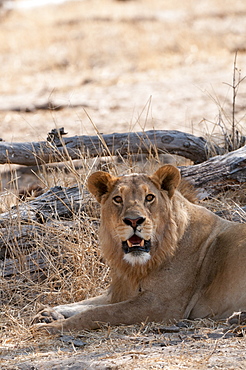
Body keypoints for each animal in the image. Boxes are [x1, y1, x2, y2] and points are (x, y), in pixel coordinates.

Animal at [32, 165, 246, 332]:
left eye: (149, 197)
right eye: (118, 199)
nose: (134, 220)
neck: (139, 266)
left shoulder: (160, 304)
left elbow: (100, 312)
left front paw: (51, 327)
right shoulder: (123, 291)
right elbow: (87, 304)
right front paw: (49, 313)